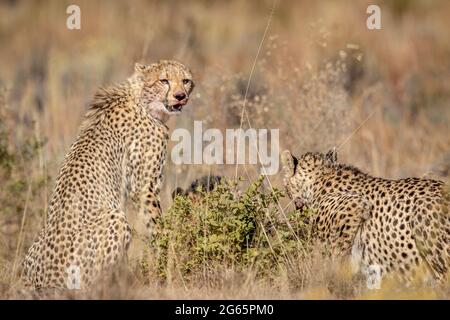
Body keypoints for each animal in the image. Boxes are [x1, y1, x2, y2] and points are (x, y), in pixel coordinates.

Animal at [22, 60, 195, 290]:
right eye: (164, 80)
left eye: (185, 80)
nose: (180, 96)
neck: (142, 100)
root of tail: (39, 282)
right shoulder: (144, 188)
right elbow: (156, 224)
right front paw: (169, 255)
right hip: (116, 220)